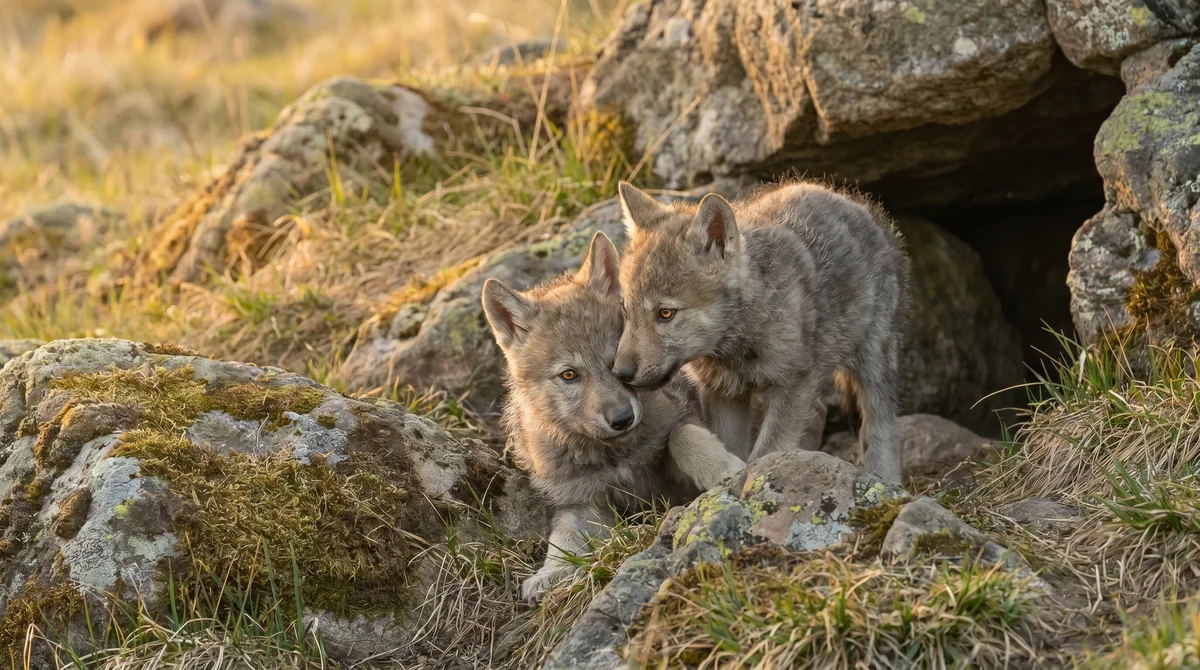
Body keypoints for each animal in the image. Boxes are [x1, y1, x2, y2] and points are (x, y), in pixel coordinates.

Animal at [481, 231, 745, 602]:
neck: (616, 456)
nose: (622, 419)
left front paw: (724, 469)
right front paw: (549, 574)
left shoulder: (681, 439)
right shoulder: (579, 502)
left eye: (615, 362)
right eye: (569, 375)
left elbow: (682, 437)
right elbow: (563, 540)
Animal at [612, 181, 910, 484]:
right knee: (820, 412)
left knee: (881, 425)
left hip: (874, 361)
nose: (620, 372)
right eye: (626, 310)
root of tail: (848, 198)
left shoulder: (795, 382)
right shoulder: (723, 394)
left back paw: (884, 478)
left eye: (666, 313)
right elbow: (730, 446)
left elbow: (766, 452)